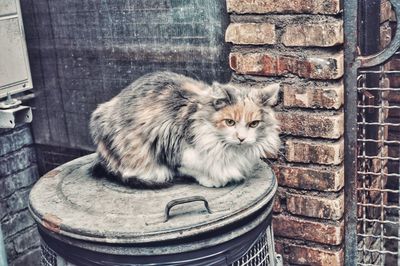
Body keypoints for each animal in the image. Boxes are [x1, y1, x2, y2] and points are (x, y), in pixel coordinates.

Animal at [89, 70, 280, 187]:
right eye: (230, 122)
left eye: (254, 124)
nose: (241, 138)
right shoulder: (170, 145)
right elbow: (192, 168)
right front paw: (211, 180)